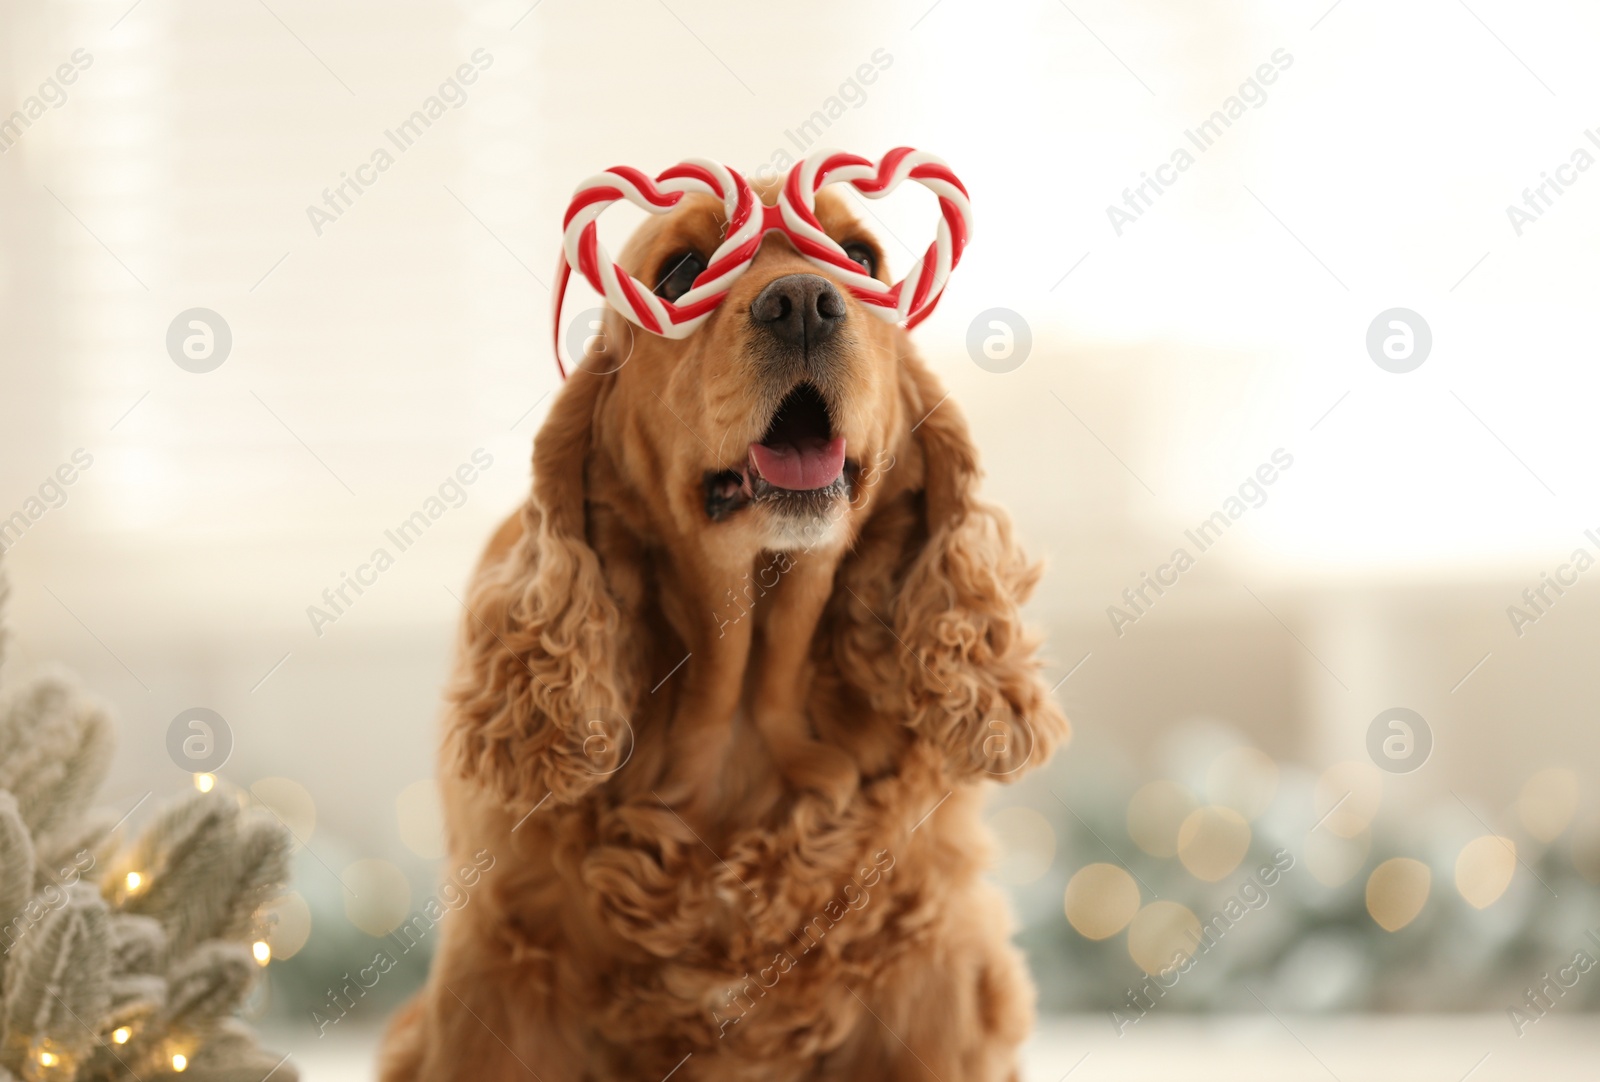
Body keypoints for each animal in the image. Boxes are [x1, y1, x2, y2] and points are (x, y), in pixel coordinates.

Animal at [379, 173, 1068, 1075]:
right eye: (680, 274)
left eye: (860, 259)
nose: (804, 301)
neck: (740, 720)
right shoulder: (500, 976)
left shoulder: (932, 980)